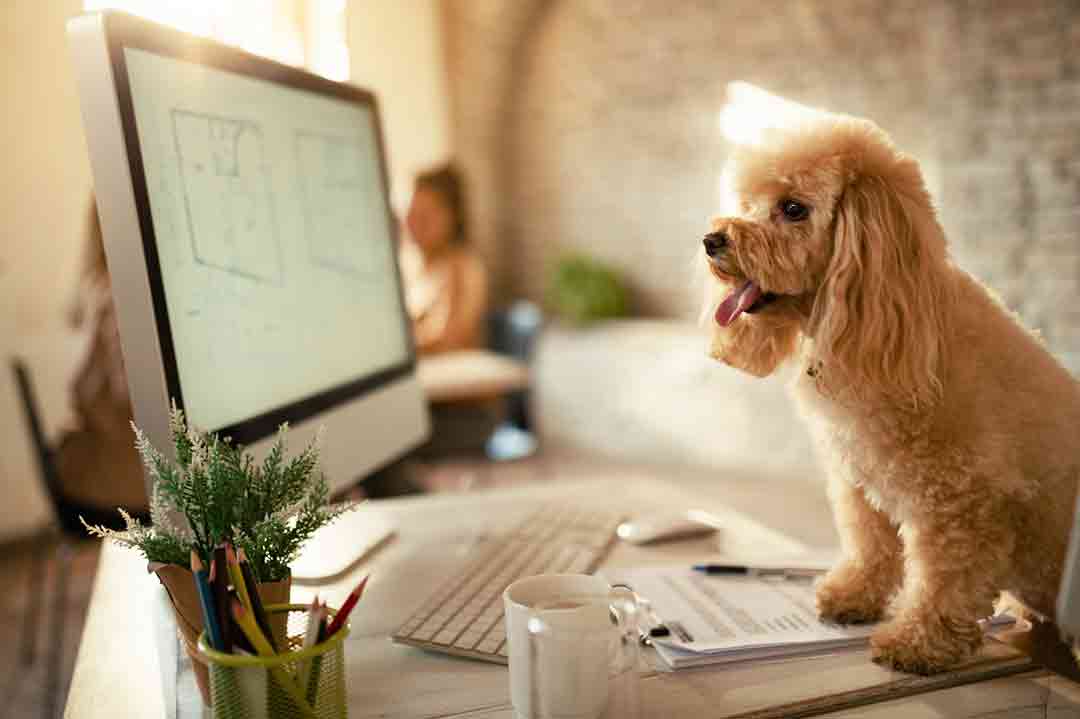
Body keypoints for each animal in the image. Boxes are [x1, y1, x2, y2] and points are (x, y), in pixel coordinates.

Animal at [699, 110, 1080, 673]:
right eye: (749, 205)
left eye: (793, 209)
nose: (712, 239)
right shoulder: (860, 483)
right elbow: (870, 546)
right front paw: (853, 597)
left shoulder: (959, 504)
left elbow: (943, 582)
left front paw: (917, 642)